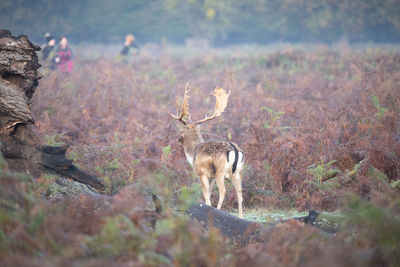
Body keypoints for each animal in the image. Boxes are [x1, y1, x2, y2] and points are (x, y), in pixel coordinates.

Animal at [169, 82, 244, 219]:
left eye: (181, 131)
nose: (178, 139)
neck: (193, 152)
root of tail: (235, 150)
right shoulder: (211, 176)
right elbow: (208, 195)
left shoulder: (202, 173)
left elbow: (206, 196)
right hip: (238, 172)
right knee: (240, 192)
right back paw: (241, 217)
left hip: (220, 171)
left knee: (223, 191)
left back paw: (219, 211)